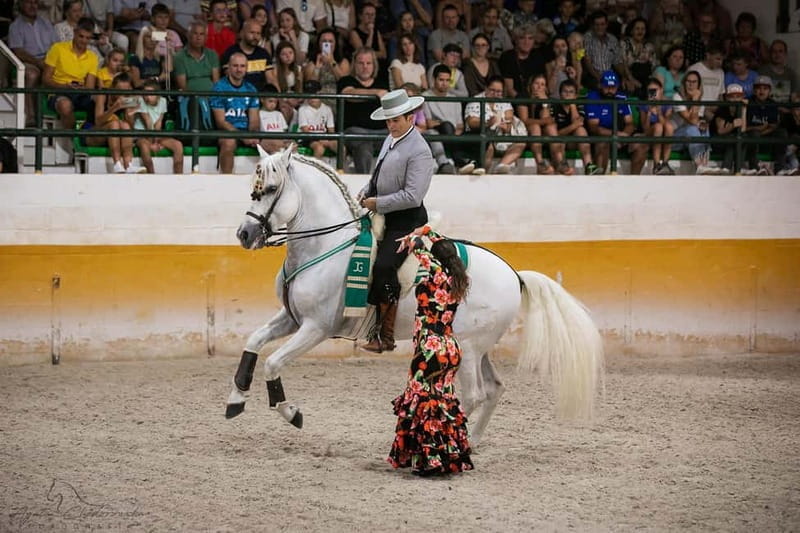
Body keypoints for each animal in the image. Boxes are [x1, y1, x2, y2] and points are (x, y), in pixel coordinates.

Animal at [225, 146, 604, 445]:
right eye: (254, 190)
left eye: (270, 188)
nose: (244, 233)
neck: (326, 245)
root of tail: (514, 275)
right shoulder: (291, 317)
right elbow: (254, 342)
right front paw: (236, 398)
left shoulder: (316, 327)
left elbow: (273, 362)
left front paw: (291, 412)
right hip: (478, 346)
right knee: (495, 388)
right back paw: (473, 441)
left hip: (469, 347)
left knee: (475, 394)